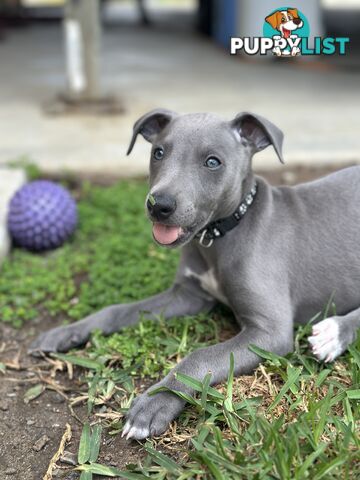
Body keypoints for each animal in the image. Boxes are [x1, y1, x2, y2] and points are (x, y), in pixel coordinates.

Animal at [30, 110, 360, 440]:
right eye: (158, 153)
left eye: (213, 162)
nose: (159, 205)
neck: (217, 238)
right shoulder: (188, 295)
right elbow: (116, 311)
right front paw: (66, 332)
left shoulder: (270, 332)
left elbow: (198, 357)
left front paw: (154, 402)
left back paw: (333, 334)